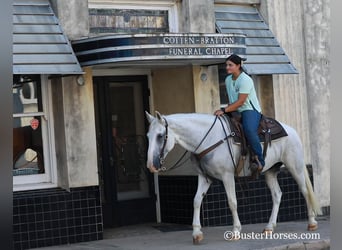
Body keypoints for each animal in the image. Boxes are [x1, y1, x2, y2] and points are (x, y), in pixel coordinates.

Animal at [146, 111, 322, 244]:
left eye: (160, 136)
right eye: (148, 136)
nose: (151, 165)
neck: (208, 139)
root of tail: (292, 130)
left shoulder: (227, 176)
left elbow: (232, 202)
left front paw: (236, 231)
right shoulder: (204, 177)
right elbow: (196, 201)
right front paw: (197, 234)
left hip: (295, 167)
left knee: (305, 191)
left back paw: (312, 223)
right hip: (270, 171)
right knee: (277, 195)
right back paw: (269, 227)